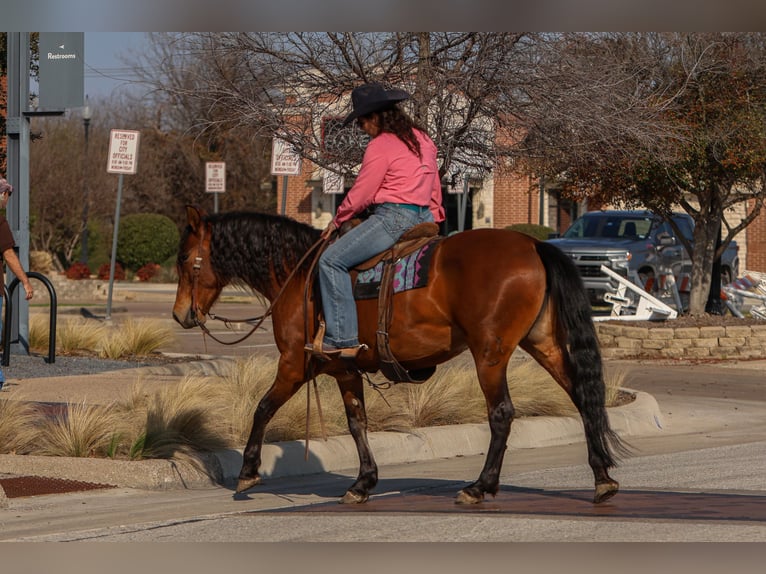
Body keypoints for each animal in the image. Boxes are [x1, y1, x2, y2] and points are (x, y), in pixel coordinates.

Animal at [171, 207, 628, 504]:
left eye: (184, 259)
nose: (180, 315)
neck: (298, 275)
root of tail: (533, 246)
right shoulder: (344, 369)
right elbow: (357, 423)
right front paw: (363, 482)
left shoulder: (294, 365)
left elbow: (263, 408)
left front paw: (248, 472)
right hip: (543, 344)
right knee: (582, 398)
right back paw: (602, 478)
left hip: (490, 354)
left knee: (501, 414)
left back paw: (479, 487)